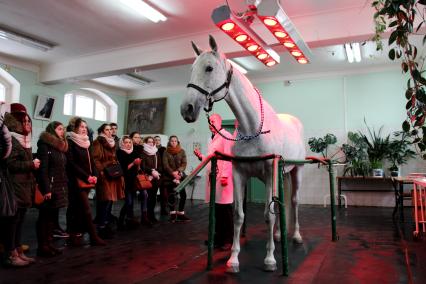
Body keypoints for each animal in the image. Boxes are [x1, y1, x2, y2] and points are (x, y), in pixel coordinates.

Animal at [180, 36, 306, 272]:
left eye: (209, 68)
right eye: (191, 69)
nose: (187, 109)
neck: (253, 127)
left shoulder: (269, 174)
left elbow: (268, 215)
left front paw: (270, 259)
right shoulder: (240, 174)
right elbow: (239, 216)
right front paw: (233, 259)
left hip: (297, 171)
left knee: (294, 201)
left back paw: (296, 236)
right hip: (281, 174)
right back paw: (278, 235)